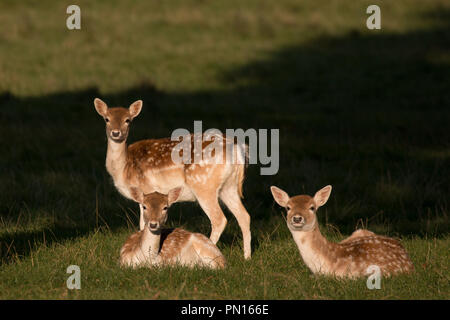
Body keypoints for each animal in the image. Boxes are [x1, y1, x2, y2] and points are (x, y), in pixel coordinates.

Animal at [93, 98, 251, 260]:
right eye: (107, 119)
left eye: (128, 120)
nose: (115, 133)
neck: (124, 168)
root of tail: (238, 149)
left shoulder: (146, 189)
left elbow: (143, 223)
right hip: (228, 187)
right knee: (244, 216)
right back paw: (247, 257)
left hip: (204, 185)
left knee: (219, 219)